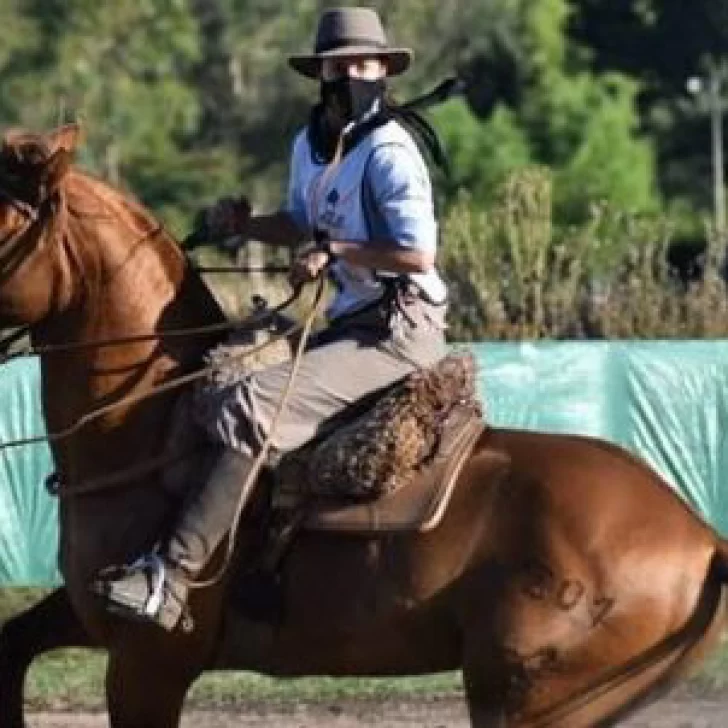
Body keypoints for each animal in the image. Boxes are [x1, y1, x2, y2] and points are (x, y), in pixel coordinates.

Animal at [0, 125, 728, 728]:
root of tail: (703, 538)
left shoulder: (147, 663)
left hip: (528, 699)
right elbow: (14, 645)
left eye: (3, 226)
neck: (149, 431)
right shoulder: (89, 620)